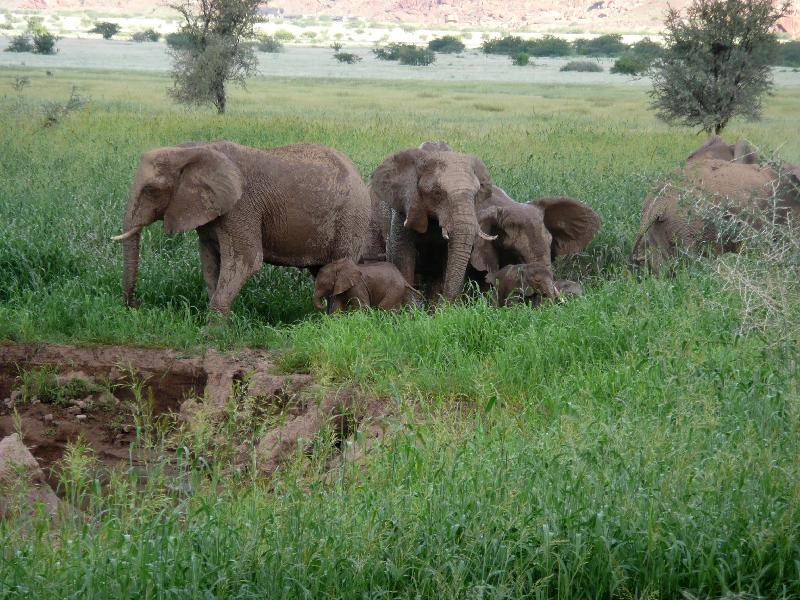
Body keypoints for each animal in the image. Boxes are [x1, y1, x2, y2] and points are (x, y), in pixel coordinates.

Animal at [111, 142, 368, 316]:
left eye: (151, 190)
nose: (137, 305)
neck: (192, 149)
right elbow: (210, 262)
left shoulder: (241, 206)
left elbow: (245, 260)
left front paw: (213, 335)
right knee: (320, 270)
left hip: (350, 219)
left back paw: (332, 321)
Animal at [368, 145, 494, 302]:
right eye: (437, 193)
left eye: (476, 194)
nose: (448, 304)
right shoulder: (404, 207)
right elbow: (402, 256)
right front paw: (410, 307)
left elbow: (447, 258)